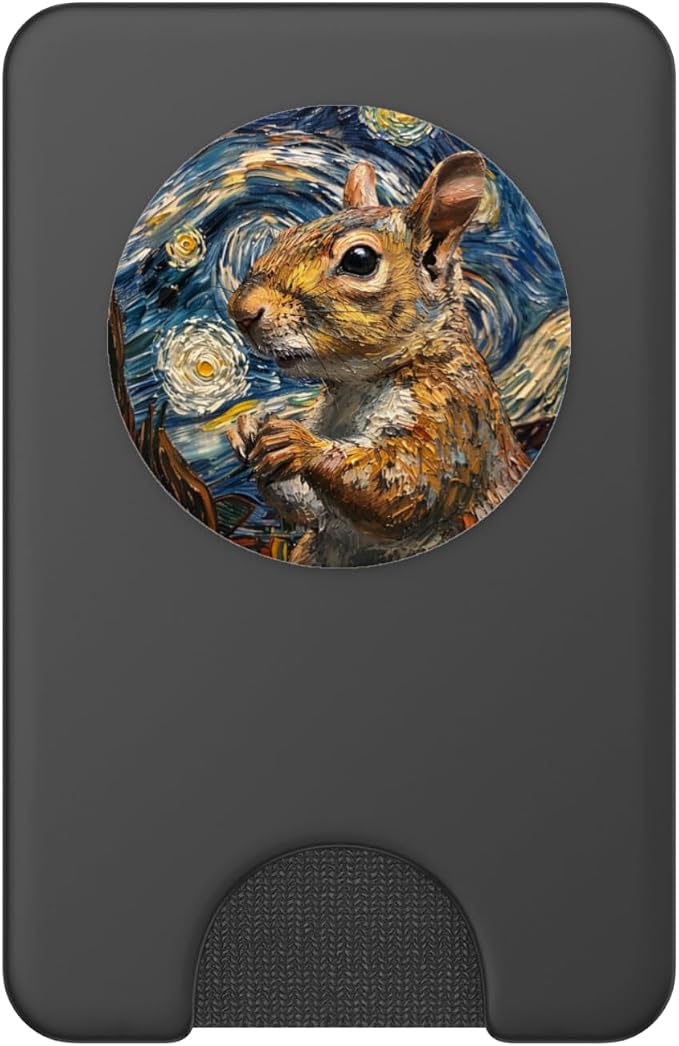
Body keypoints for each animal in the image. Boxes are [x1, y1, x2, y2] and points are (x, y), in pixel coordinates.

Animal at [227, 152, 530, 567]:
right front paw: (247, 429)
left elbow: (406, 490)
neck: (358, 383)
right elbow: (310, 509)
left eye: (359, 259)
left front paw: (300, 445)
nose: (240, 312)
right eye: (286, 236)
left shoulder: (451, 418)